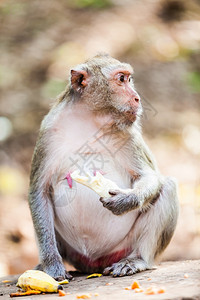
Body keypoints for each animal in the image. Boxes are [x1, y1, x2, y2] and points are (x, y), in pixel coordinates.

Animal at [28, 52, 178, 280]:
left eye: (129, 78)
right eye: (122, 79)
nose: (137, 98)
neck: (89, 121)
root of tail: (94, 265)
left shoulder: (128, 134)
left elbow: (149, 177)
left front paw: (126, 200)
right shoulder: (48, 133)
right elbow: (39, 191)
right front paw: (52, 265)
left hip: (124, 246)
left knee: (167, 187)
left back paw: (136, 260)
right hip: (72, 252)